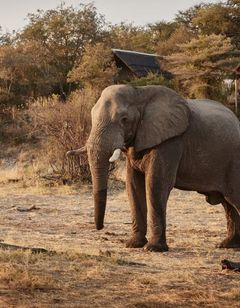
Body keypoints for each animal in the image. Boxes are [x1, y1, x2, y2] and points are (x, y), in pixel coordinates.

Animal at [68, 85, 240, 253]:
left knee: (233, 199)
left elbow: (156, 184)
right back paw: (227, 245)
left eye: (124, 119)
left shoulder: (170, 142)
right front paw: (133, 244)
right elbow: (133, 185)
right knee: (228, 204)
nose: (100, 227)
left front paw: (153, 248)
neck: (140, 93)